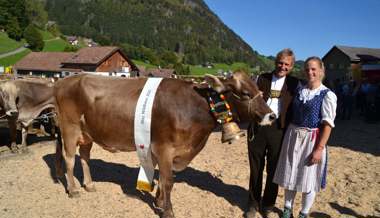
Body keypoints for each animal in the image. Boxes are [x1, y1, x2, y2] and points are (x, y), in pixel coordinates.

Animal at [54, 71, 276, 216]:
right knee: (69, 158)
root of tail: (66, 80)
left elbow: (161, 179)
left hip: (87, 134)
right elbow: (168, 181)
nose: (272, 116)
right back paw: (73, 190)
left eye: (259, 89)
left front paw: (159, 202)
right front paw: (168, 210)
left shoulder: (165, 151)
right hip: (70, 128)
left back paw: (89, 185)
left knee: (84, 157)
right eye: (245, 93)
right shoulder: (164, 148)